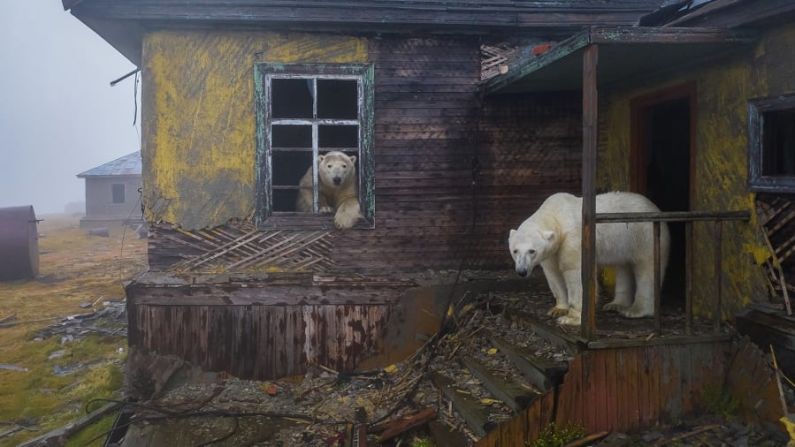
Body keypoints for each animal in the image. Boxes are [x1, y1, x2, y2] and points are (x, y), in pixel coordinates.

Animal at [506, 192, 668, 326]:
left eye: (532, 251)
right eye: (515, 251)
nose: (521, 271)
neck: (555, 215)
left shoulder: (573, 239)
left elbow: (575, 273)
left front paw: (571, 318)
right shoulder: (552, 251)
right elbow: (553, 273)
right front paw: (558, 309)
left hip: (643, 235)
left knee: (647, 269)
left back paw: (635, 310)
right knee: (624, 267)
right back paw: (616, 304)